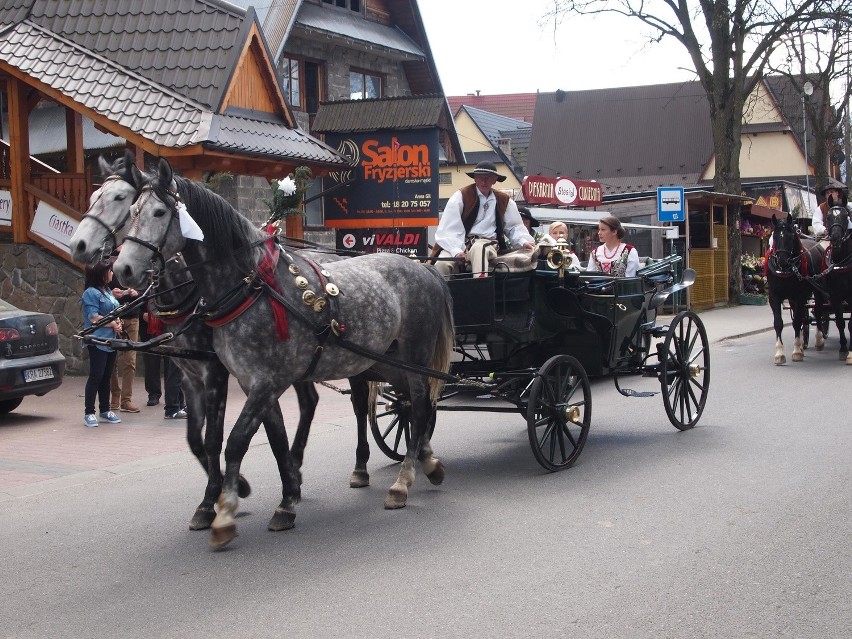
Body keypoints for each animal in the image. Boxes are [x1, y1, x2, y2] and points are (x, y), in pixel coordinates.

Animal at [116, 159, 456, 552]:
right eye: (131, 212)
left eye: (159, 212)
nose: (122, 269)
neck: (252, 287)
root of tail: (423, 267)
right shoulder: (251, 382)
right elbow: (271, 438)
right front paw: (285, 497)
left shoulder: (263, 381)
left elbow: (235, 441)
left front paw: (226, 513)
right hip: (387, 360)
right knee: (410, 409)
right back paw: (428, 463)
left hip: (414, 356)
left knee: (418, 408)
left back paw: (403, 482)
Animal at [764, 214, 824, 364]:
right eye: (775, 236)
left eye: (790, 237)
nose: (782, 261)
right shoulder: (774, 296)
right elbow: (778, 323)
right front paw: (779, 353)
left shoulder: (800, 296)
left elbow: (796, 322)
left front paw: (796, 351)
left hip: (818, 291)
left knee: (819, 312)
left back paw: (819, 340)